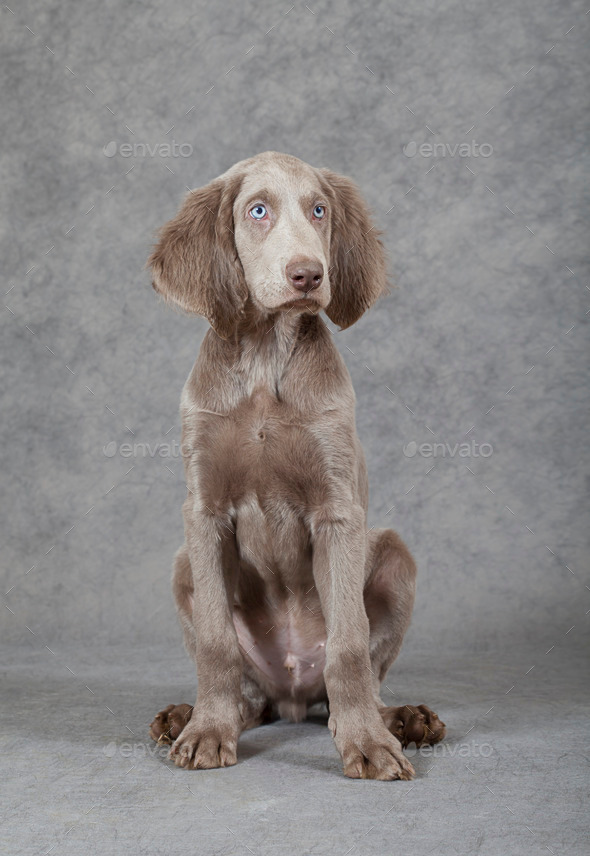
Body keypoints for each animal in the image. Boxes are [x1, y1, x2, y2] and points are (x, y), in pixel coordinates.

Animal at [149, 150, 448, 780]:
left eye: (320, 210)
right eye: (257, 210)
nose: (308, 275)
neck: (266, 359)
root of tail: (289, 695)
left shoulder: (338, 509)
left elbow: (350, 645)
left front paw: (367, 744)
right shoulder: (203, 511)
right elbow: (215, 641)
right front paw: (207, 732)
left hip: (394, 556)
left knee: (351, 683)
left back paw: (400, 721)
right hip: (184, 563)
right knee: (249, 695)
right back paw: (192, 715)